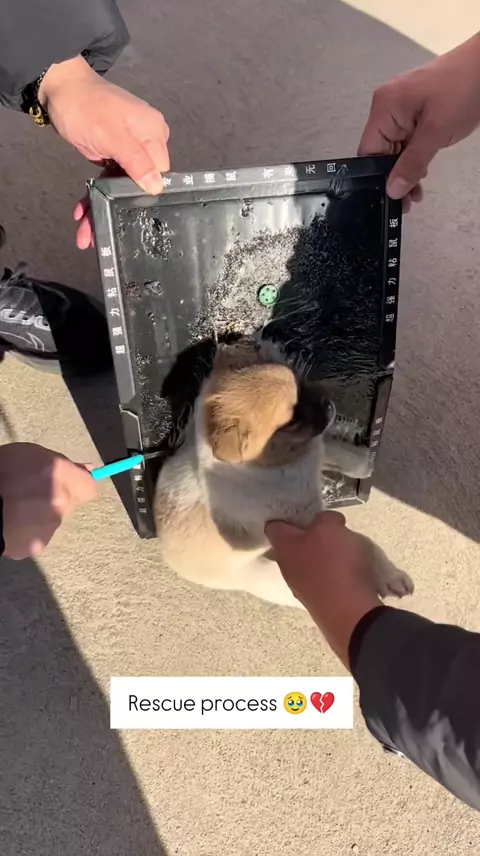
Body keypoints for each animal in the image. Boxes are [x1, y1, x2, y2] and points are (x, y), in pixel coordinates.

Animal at [154, 337, 413, 608]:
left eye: (299, 380)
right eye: (292, 421)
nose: (328, 405)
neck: (277, 461)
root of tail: (166, 548)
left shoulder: (311, 451)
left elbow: (332, 450)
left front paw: (362, 461)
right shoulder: (309, 523)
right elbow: (364, 542)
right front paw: (389, 575)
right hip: (267, 577)